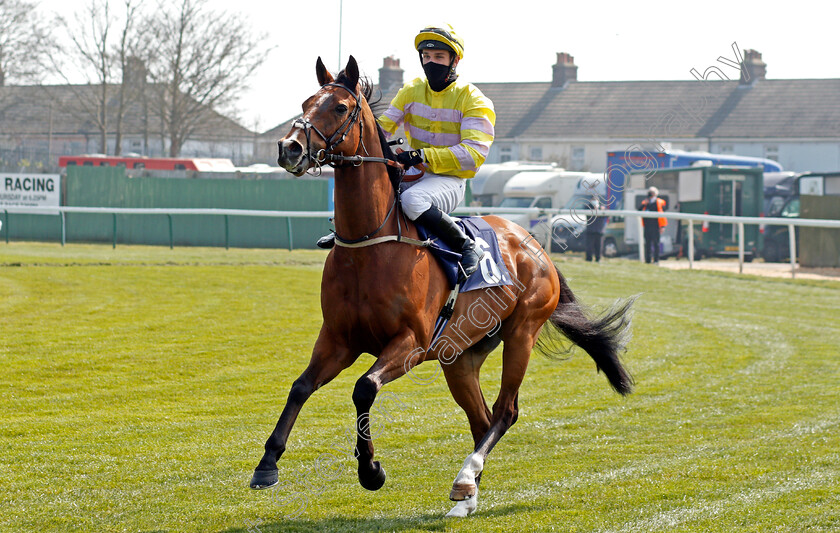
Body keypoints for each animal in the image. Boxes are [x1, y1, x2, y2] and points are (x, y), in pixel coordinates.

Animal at [253, 57, 632, 516]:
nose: (288, 147)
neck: (370, 245)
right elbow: (300, 387)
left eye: (340, 107)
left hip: (521, 333)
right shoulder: (338, 340)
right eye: (307, 102)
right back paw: (467, 494)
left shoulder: (410, 343)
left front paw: (370, 470)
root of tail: (534, 245)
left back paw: (465, 477)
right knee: (481, 419)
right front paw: (267, 464)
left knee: (505, 411)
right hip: (460, 357)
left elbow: (364, 389)